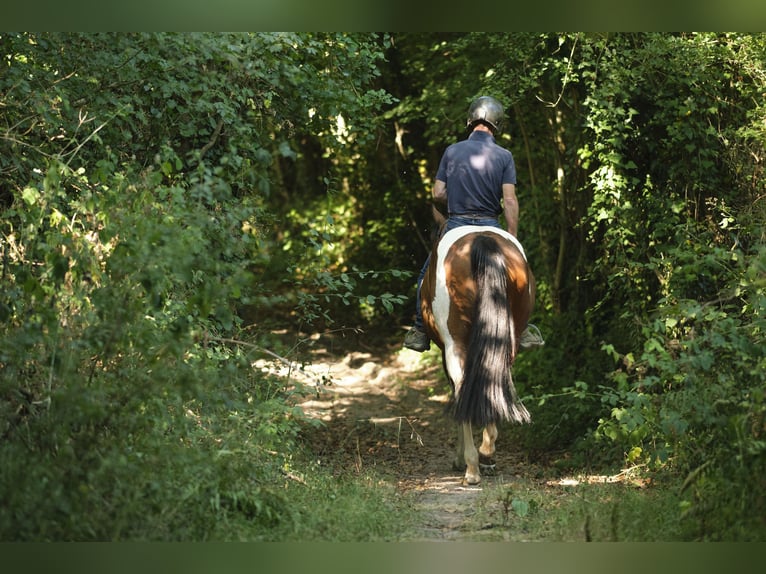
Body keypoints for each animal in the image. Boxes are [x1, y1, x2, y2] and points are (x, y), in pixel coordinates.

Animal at [419, 222, 535, 485]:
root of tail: (483, 240)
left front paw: (460, 458)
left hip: (455, 343)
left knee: (463, 386)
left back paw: (471, 466)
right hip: (509, 339)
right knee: (492, 380)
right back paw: (487, 451)